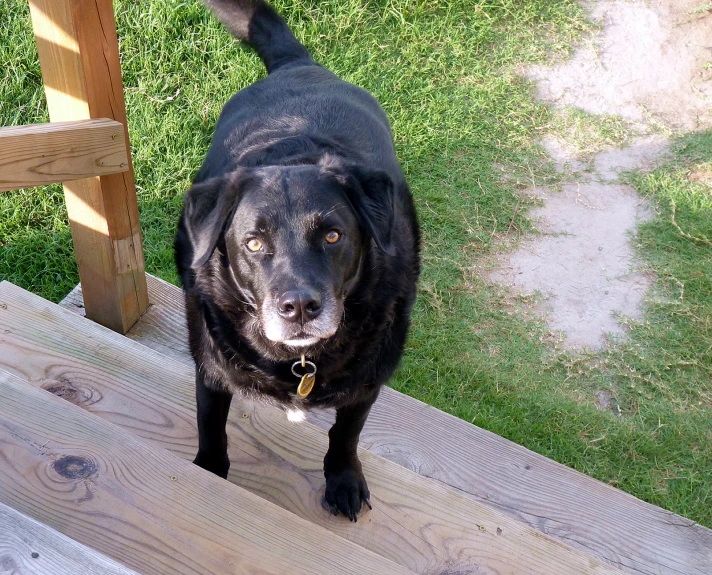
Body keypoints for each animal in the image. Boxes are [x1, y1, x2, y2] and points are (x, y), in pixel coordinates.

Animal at [175, 0, 420, 520]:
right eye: (252, 243)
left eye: (332, 235)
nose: (301, 308)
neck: (297, 361)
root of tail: (299, 64)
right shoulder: (211, 368)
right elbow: (211, 427)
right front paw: (209, 473)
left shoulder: (368, 382)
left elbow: (346, 434)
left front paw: (343, 480)